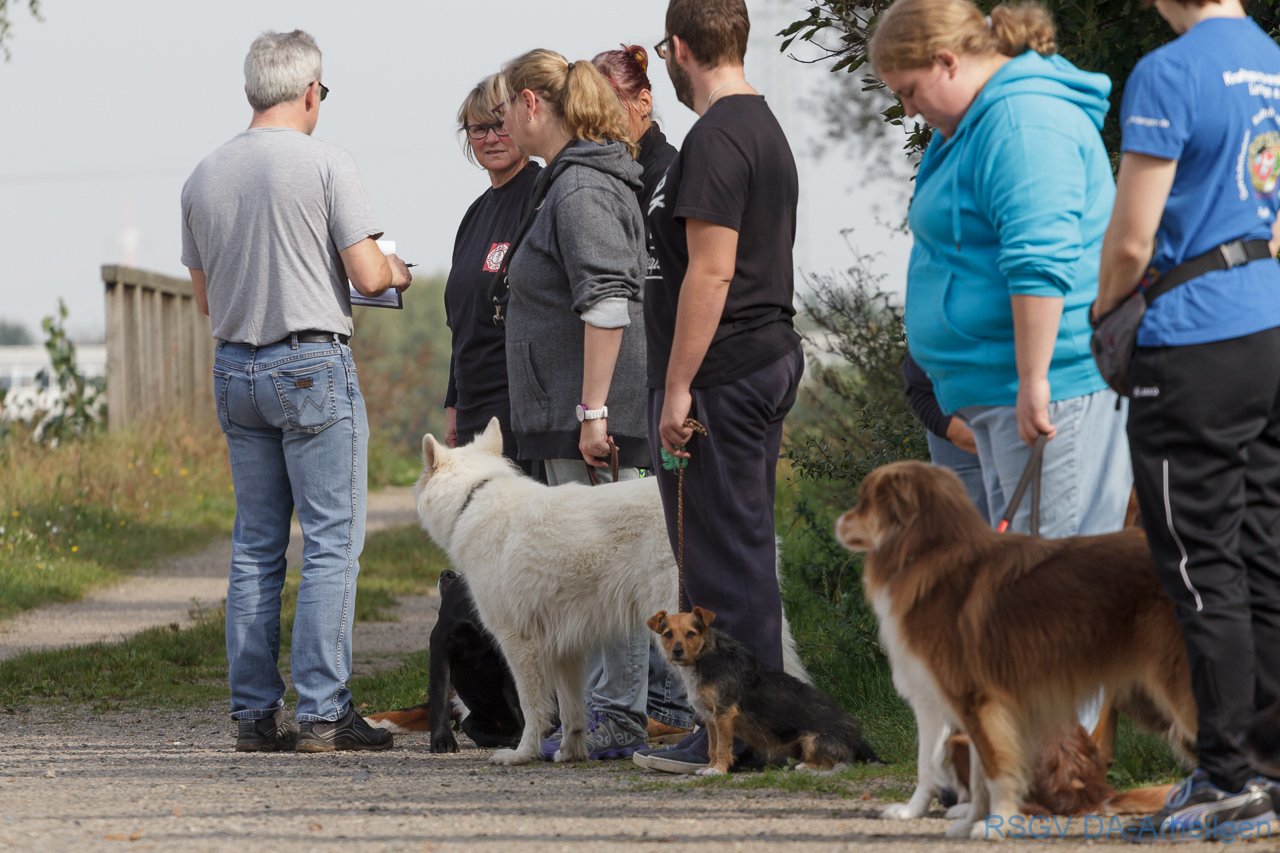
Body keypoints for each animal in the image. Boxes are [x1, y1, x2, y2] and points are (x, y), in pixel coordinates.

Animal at [647, 607, 880, 775]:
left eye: (691, 634)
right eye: (668, 634)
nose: (677, 651)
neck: (706, 657)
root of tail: (857, 737)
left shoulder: (724, 714)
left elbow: (723, 747)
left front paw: (718, 770)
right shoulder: (711, 718)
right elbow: (712, 748)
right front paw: (709, 766)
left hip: (812, 740)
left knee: (841, 762)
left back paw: (804, 766)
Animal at [834, 461, 1195, 839]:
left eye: (863, 501)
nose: (837, 522)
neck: (926, 551)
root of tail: (1097, 794)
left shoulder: (975, 699)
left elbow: (988, 769)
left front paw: (998, 823)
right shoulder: (959, 706)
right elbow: (959, 770)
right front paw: (962, 819)